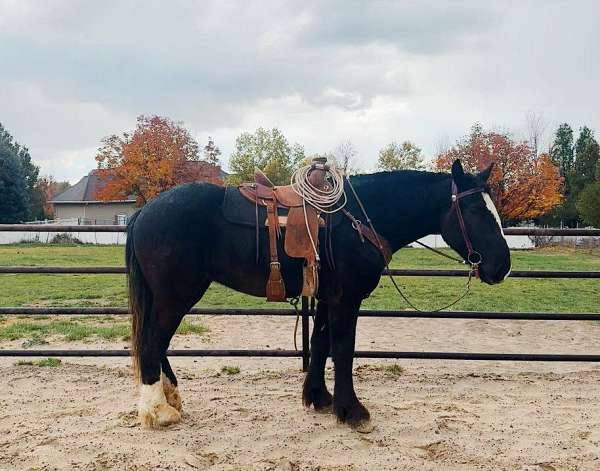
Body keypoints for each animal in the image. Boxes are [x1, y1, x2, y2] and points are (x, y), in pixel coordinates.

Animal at [126, 161, 510, 432]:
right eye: (476, 210)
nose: (502, 266)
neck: (359, 221)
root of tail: (145, 211)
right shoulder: (347, 298)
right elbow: (343, 350)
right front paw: (351, 410)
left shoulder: (328, 298)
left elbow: (322, 344)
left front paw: (318, 398)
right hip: (176, 295)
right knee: (151, 341)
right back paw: (158, 411)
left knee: (157, 343)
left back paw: (172, 400)